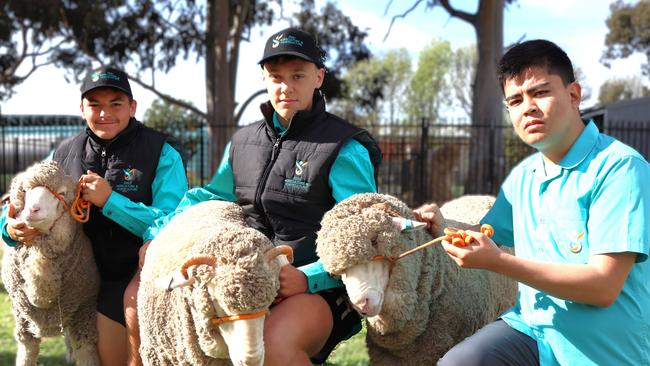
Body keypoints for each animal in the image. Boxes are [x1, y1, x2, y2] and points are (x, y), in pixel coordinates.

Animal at [0, 162, 99, 366]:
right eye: (25, 190)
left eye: (62, 193)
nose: (32, 210)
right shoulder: (22, 318)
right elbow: (26, 354)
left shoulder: (85, 310)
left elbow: (85, 352)